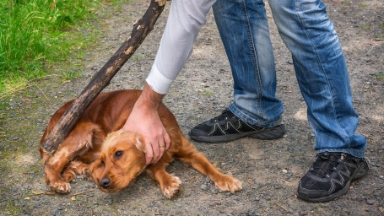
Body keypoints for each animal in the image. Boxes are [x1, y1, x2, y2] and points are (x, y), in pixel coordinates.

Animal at [39, 89, 243, 197]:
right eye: (105, 161)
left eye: (119, 154)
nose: (103, 183)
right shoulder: (150, 161)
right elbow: (158, 170)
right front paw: (169, 183)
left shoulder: (189, 152)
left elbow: (209, 167)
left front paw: (226, 179)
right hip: (83, 130)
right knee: (52, 163)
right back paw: (58, 182)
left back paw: (80, 170)